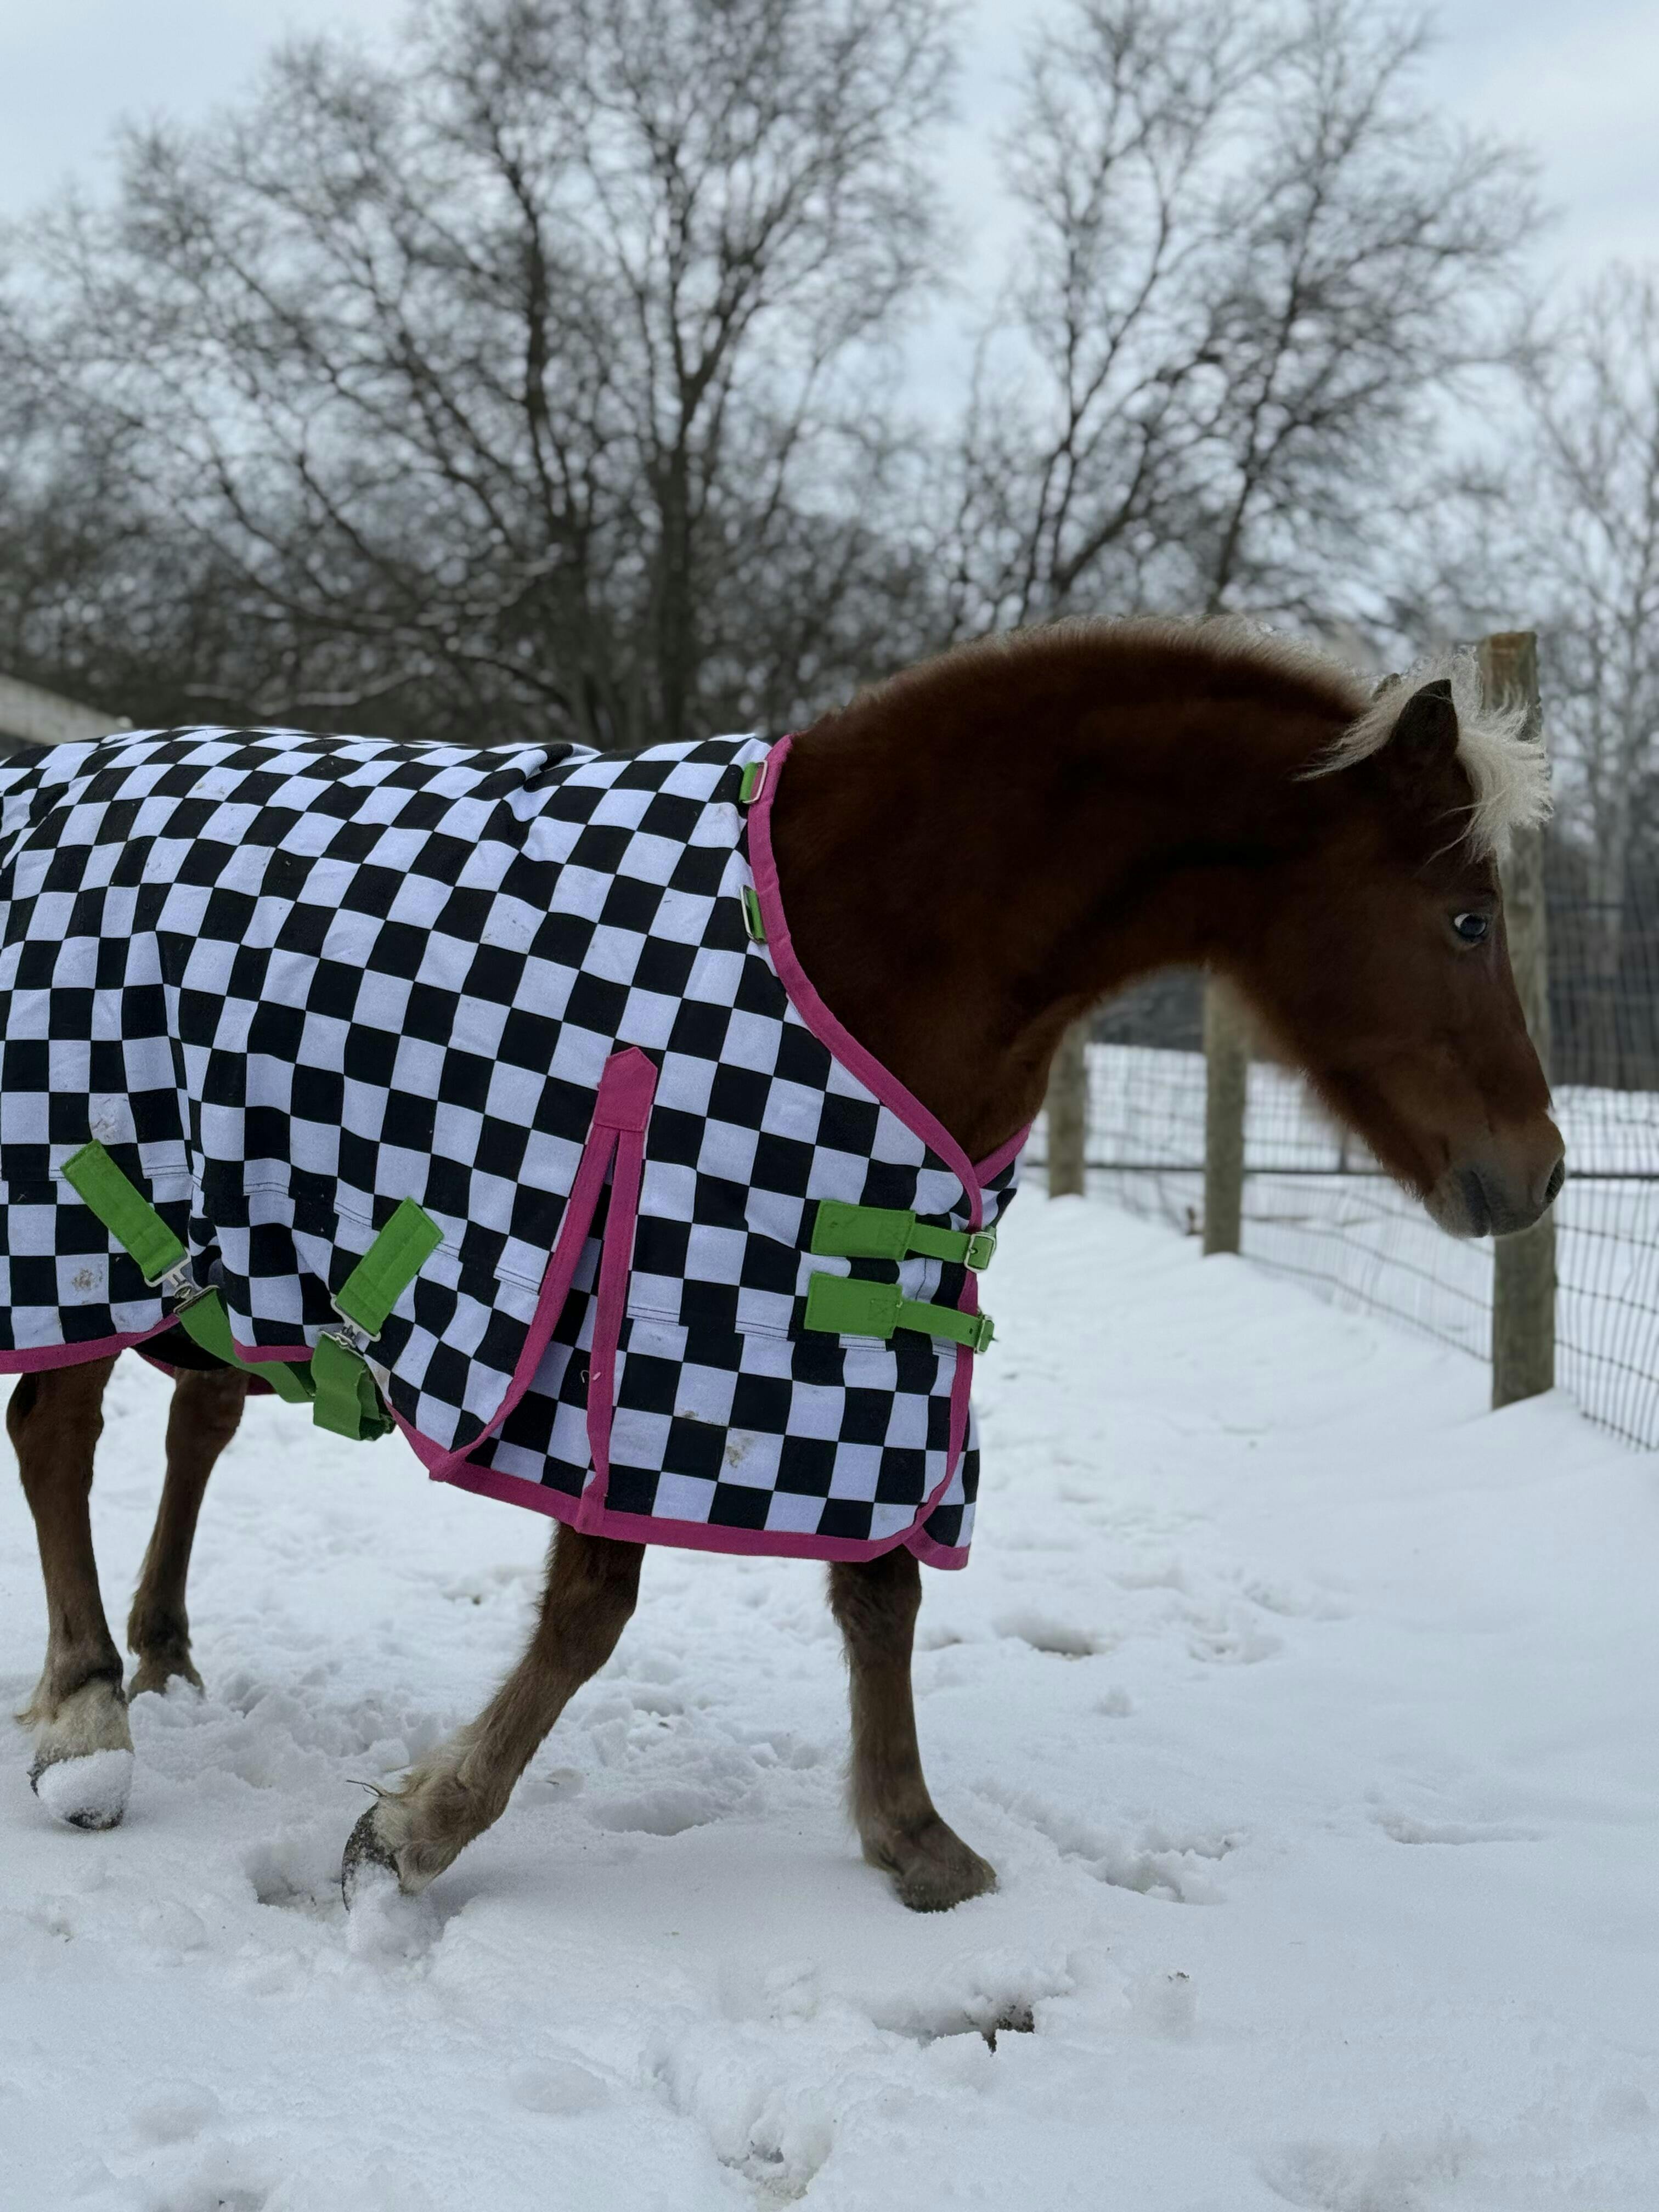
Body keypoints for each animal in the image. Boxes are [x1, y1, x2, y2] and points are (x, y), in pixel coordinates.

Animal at [4, 617, 1564, 1913]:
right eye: (1468, 917)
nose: (1540, 1172)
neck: (873, 909)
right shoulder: (651, 1311)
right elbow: (592, 1609)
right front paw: (419, 1830)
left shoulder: (866, 1317)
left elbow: (882, 1588)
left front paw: (916, 1838)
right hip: (87, 1212)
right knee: (58, 1422)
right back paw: (87, 1717)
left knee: (182, 1421)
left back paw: (156, 1659)